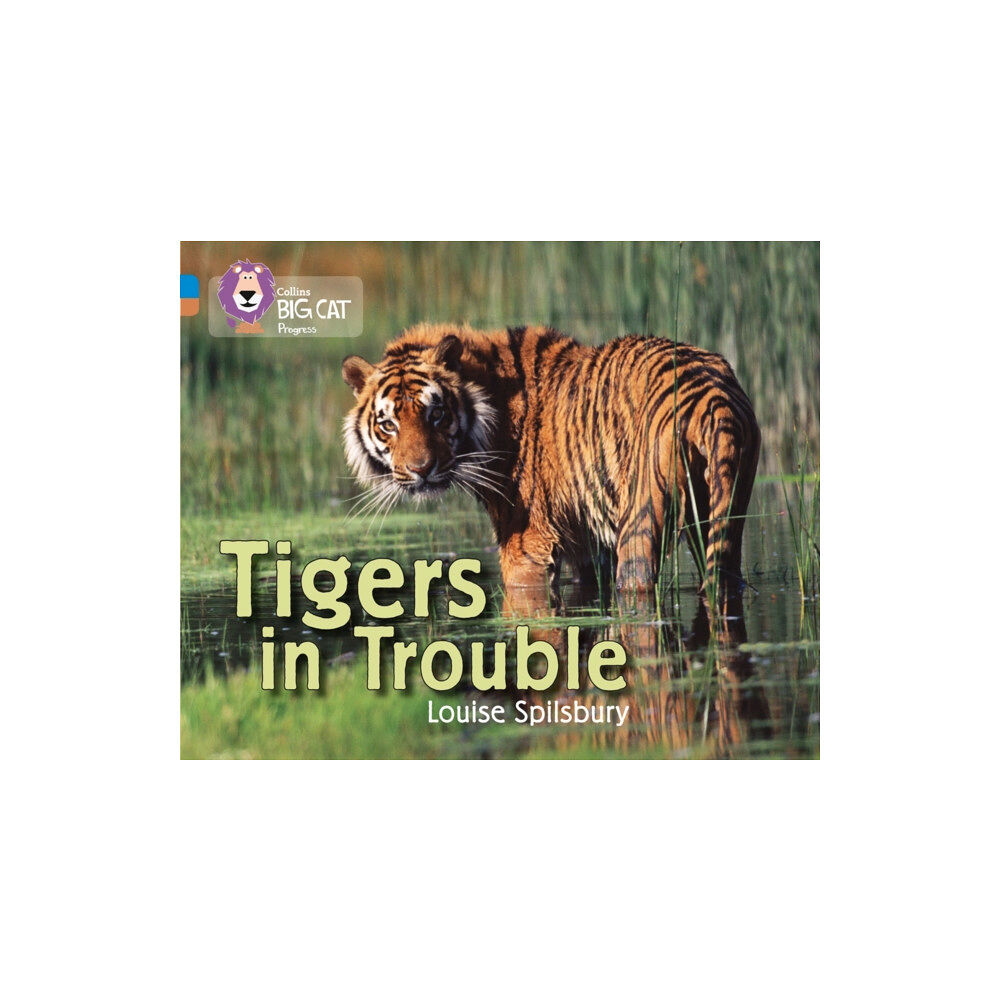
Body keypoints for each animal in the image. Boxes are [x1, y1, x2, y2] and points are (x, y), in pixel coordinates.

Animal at [342, 323, 760, 607]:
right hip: (723, 510)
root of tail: (711, 395)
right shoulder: (585, 543)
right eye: (389, 424)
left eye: (436, 414)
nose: (421, 469)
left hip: (641, 517)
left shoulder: (526, 542)